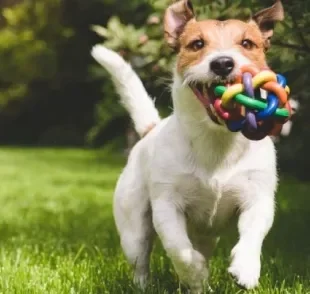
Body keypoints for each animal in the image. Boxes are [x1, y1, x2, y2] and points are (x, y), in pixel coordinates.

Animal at [91, 0, 286, 292]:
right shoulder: (167, 206)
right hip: (133, 227)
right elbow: (179, 249)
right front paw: (195, 272)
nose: (223, 63)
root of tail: (150, 130)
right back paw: (150, 284)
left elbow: (253, 233)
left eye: (247, 43)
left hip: (206, 235)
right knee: (141, 259)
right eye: (197, 44)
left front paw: (246, 268)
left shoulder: (258, 198)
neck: (216, 141)